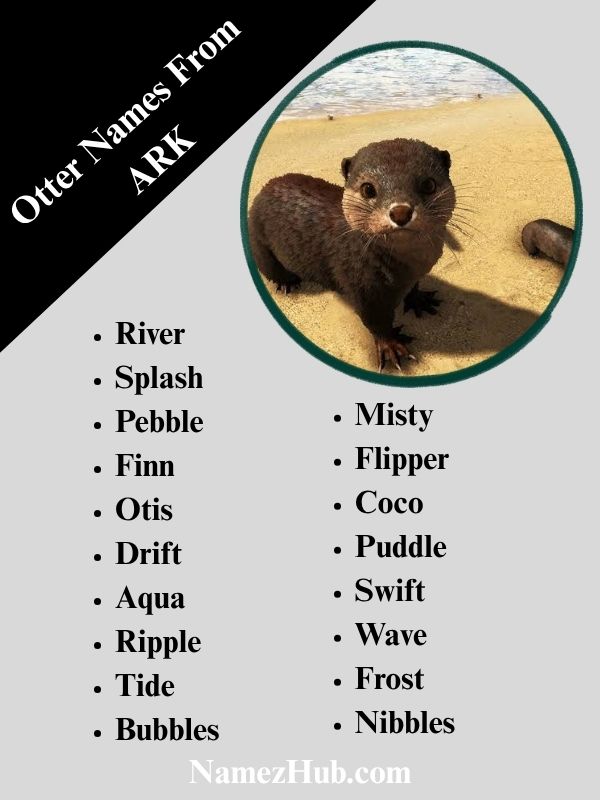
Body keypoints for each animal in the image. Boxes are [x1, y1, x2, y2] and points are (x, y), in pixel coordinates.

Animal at [249, 138, 455, 371]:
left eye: (429, 184)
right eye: (368, 189)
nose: (400, 212)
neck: (409, 269)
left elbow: (415, 287)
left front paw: (419, 300)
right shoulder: (361, 285)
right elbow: (376, 321)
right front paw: (391, 346)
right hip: (258, 237)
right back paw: (286, 282)